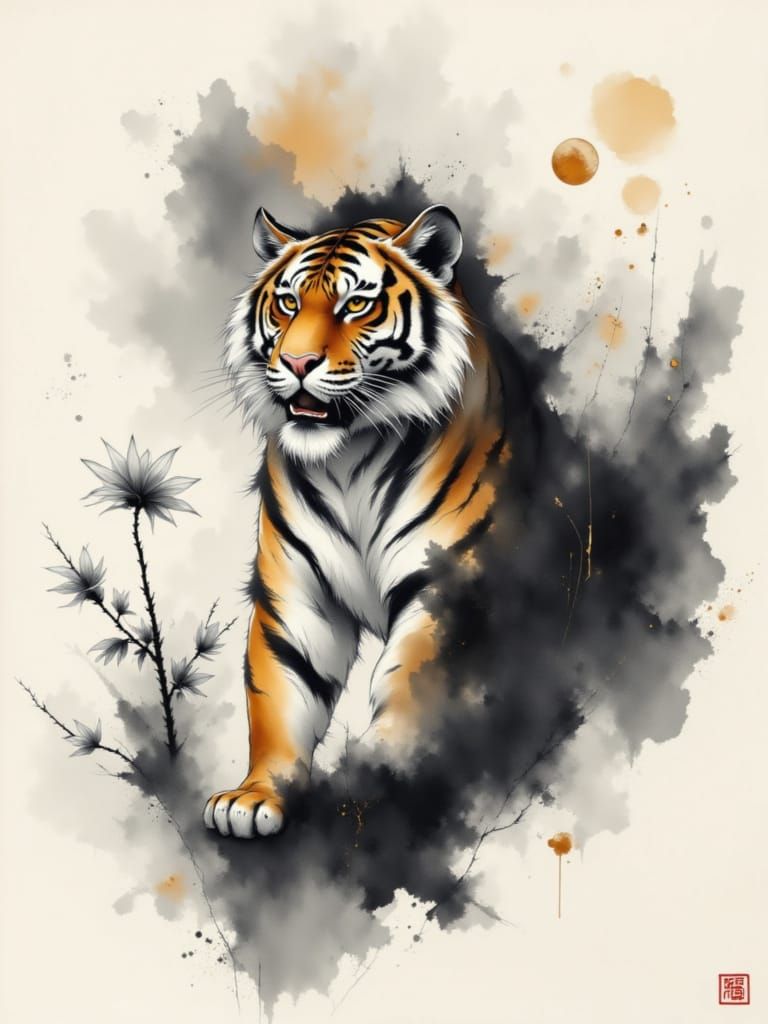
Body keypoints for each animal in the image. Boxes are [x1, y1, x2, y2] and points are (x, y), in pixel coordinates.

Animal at [203, 204, 508, 838]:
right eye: (288, 303)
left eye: (356, 305)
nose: (296, 362)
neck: (349, 459)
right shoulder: (296, 595)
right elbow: (279, 692)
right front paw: (253, 798)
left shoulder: (443, 580)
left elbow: (412, 678)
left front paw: (377, 777)